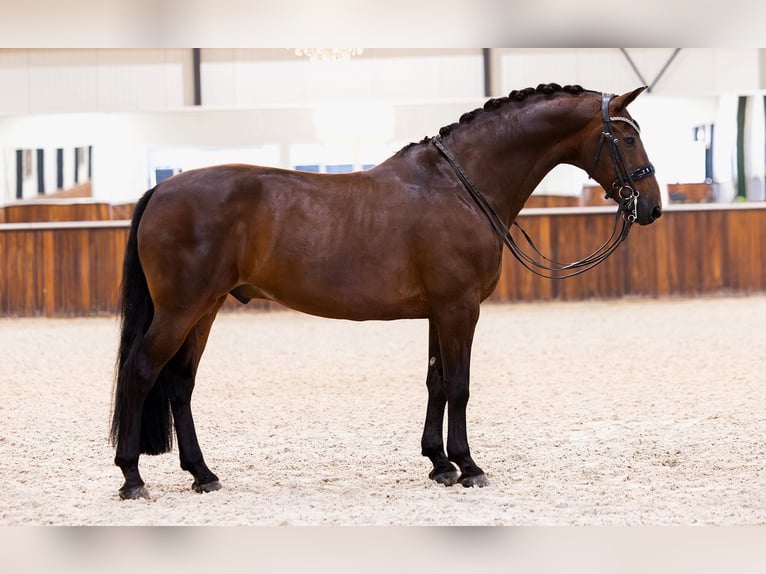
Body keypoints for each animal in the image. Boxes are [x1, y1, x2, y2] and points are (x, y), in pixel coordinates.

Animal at [110, 83, 662, 500]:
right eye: (627, 136)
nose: (653, 206)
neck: (461, 187)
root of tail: (162, 188)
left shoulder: (440, 312)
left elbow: (436, 382)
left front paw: (439, 463)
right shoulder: (460, 309)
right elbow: (459, 385)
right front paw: (469, 466)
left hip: (203, 310)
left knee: (180, 384)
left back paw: (203, 474)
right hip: (180, 310)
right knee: (141, 371)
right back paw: (132, 477)